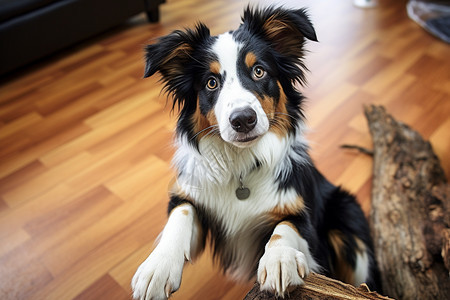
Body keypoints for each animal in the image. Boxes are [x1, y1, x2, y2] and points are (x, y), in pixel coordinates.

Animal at [131, 5, 380, 298]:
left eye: (259, 71)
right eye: (211, 83)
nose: (242, 120)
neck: (242, 163)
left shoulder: (304, 220)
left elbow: (285, 226)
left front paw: (280, 260)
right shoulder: (193, 199)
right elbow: (180, 215)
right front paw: (157, 267)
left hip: (349, 223)